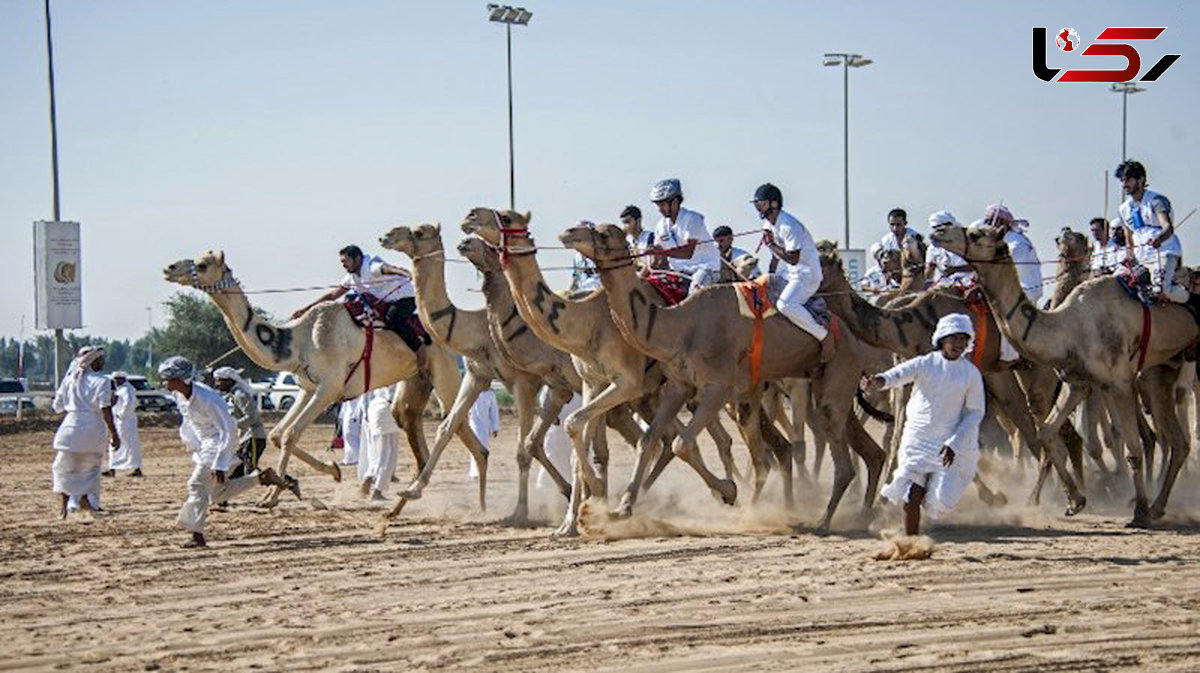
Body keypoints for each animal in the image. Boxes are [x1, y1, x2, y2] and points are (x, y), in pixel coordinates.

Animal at [163, 249, 477, 506]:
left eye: (202, 265)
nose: (169, 267)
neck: (299, 341)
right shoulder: (306, 388)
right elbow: (278, 435)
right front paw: (325, 473)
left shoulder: (330, 388)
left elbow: (291, 433)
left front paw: (274, 496)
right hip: (416, 375)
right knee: (409, 415)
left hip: (444, 366)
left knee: (456, 418)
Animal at [376, 221, 578, 525]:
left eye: (419, 232)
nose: (386, 236)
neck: (479, 329)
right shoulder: (477, 375)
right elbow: (447, 426)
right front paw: (412, 491)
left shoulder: (524, 382)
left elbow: (522, 447)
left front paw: (520, 512)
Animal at [460, 207, 734, 532]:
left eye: (506, 217)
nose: (469, 218)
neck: (586, 323)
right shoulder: (589, 383)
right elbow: (576, 441)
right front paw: (571, 521)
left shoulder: (623, 382)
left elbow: (580, 434)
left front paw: (592, 500)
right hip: (658, 393)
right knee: (672, 439)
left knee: (703, 437)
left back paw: (736, 491)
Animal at [556, 220, 888, 530]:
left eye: (602, 233)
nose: (568, 232)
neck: (680, 324)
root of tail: (849, 335)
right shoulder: (679, 385)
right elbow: (648, 441)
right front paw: (621, 509)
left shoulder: (717, 386)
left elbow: (681, 444)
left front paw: (728, 491)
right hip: (822, 386)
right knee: (859, 451)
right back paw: (856, 514)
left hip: (835, 373)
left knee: (836, 458)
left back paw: (823, 521)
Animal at [936, 223, 1200, 523]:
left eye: (977, 234)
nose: (939, 230)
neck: (1069, 328)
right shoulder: (1078, 383)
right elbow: (1047, 433)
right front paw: (1075, 501)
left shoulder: (1119, 382)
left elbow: (1131, 448)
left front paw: (1139, 512)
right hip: (1159, 371)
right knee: (1177, 440)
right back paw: (1158, 505)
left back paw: (1150, 504)